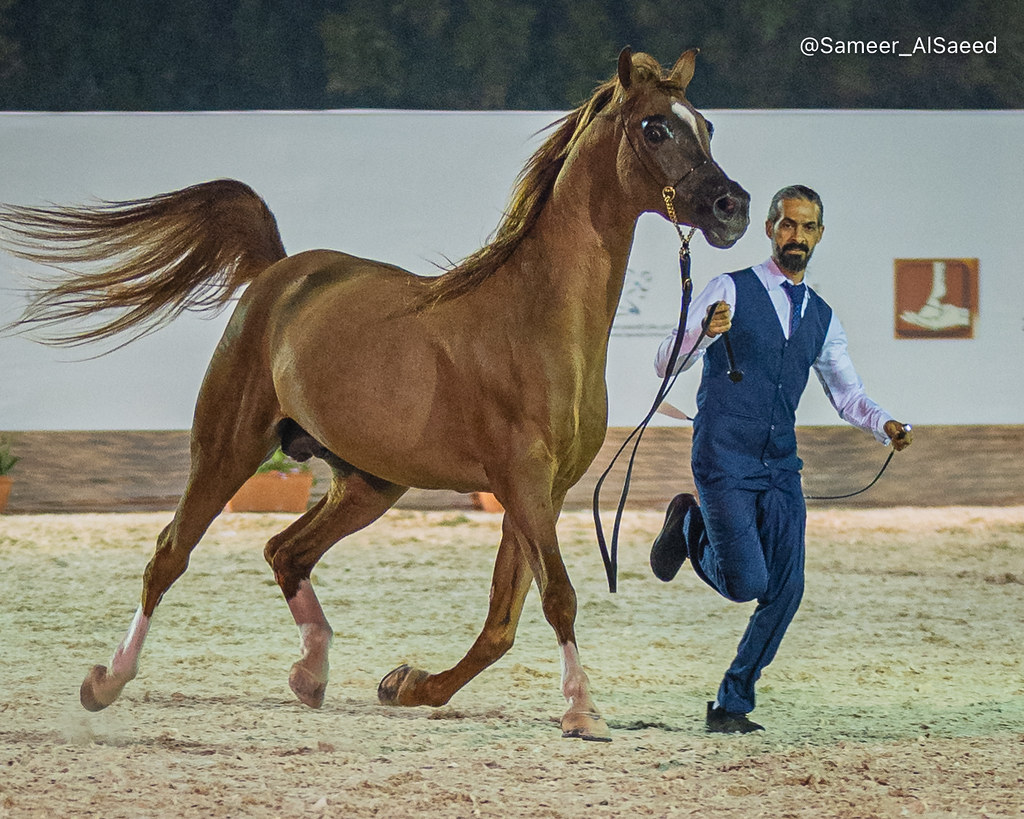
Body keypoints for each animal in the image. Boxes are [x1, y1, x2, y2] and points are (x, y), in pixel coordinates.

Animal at [0, 48, 748, 741]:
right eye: (655, 128)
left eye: (707, 124)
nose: (731, 207)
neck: (534, 318)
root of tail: (279, 274)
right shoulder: (524, 483)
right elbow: (557, 597)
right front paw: (581, 711)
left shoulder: (541, 490)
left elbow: (501, 622)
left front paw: (407, 684)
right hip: (226, 449)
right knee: (169, 554)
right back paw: (106, 681)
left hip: (368, 481)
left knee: (286, 551)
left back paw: (310, 674)